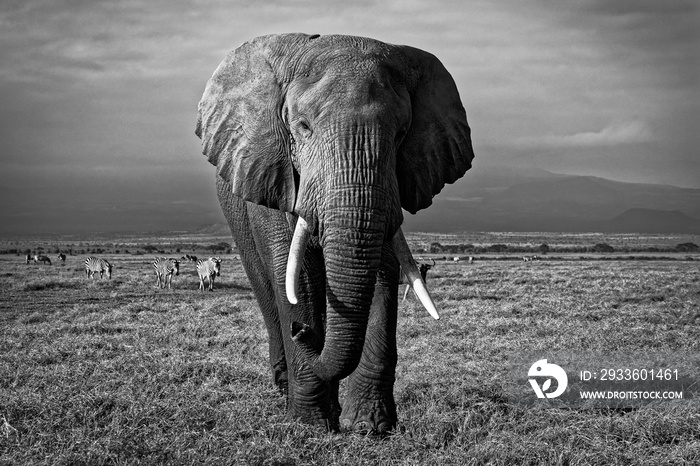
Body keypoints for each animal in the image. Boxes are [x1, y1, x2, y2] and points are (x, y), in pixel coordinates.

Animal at [194, 32, 474, 434]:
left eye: (401, 134)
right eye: (302, 127)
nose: (301, 331)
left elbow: (381, 268)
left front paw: (371, 427)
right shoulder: (275, 174)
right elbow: (297, 277)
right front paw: (310, 426)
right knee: (267, 288)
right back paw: (286, 385)